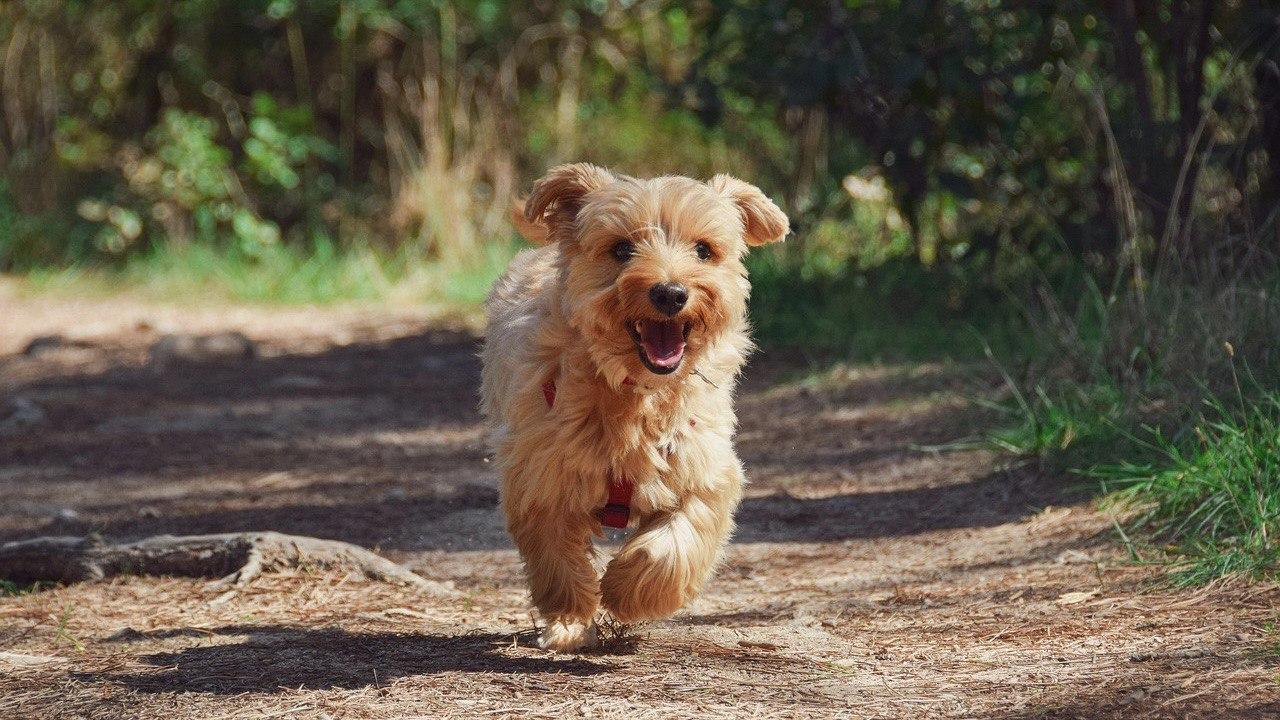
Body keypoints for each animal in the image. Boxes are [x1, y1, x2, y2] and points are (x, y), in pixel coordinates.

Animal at [481, 162, 783, 650]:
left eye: (704, 249)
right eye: (622, 249)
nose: (671, 293)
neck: (636, 394)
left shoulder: (704, 470)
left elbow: (676, 542)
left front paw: (626, 590)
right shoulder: (541, 474)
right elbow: (556, 556)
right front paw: (570, 617)